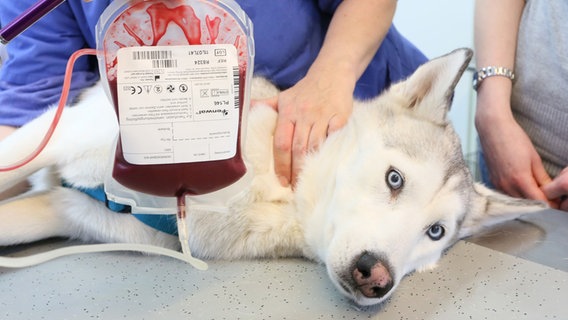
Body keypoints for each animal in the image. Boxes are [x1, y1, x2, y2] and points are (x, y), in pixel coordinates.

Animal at [0, 48, 544, 306]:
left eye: (434, 232)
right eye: (395, 180)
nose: (377, 277)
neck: (276, 192)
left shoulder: (69, 210)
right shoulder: (63, 136)